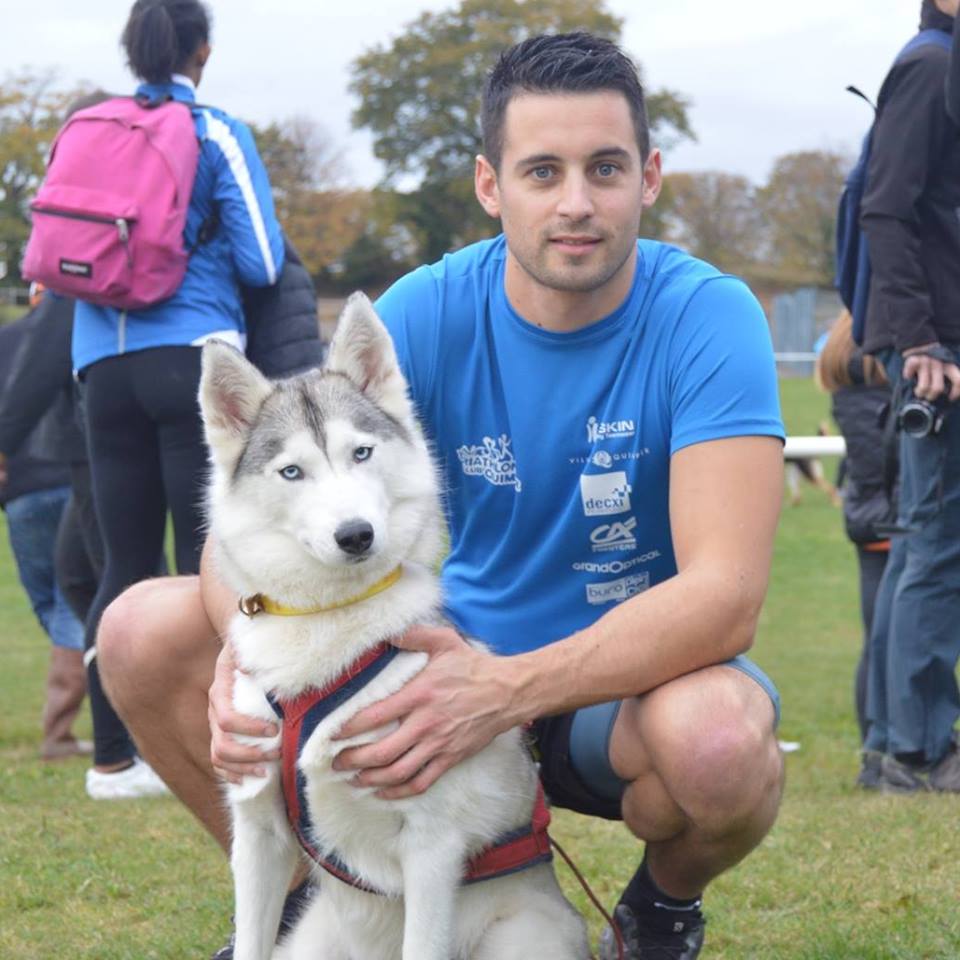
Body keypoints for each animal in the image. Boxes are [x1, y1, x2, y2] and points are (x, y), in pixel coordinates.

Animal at [199, 292, 584, 960]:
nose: (356, 534)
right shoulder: (258, 832)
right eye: (292, 472)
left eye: (362, 452)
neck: (326, 623)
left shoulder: (431, 848)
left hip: (523, 936)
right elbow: (249, 939)